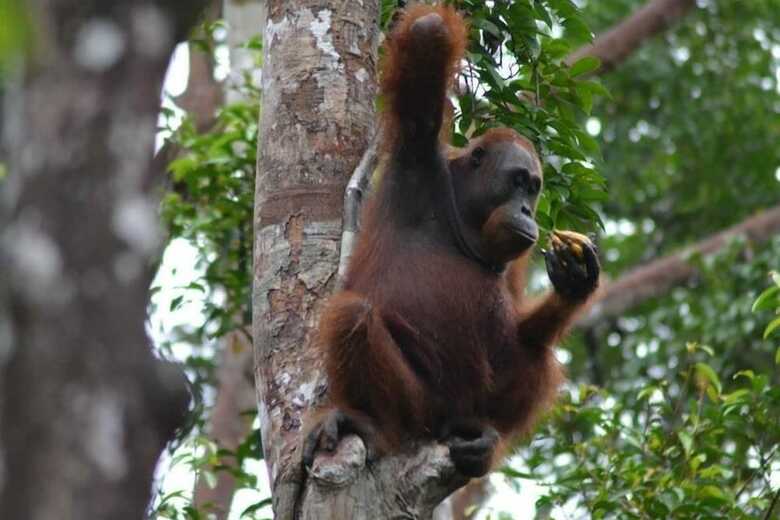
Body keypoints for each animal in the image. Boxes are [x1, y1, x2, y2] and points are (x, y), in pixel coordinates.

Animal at [303, 4, 600, 478]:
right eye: (518, 181)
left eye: (534, 188)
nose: (528, 212)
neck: (463, 209)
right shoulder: (417, 158)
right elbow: (424, 77)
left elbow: (516, 327)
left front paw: (575, 280)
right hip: (420, 405)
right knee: (353, 315)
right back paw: (371, 425)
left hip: (469, 404)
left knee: (538, 353)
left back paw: (485, 441)